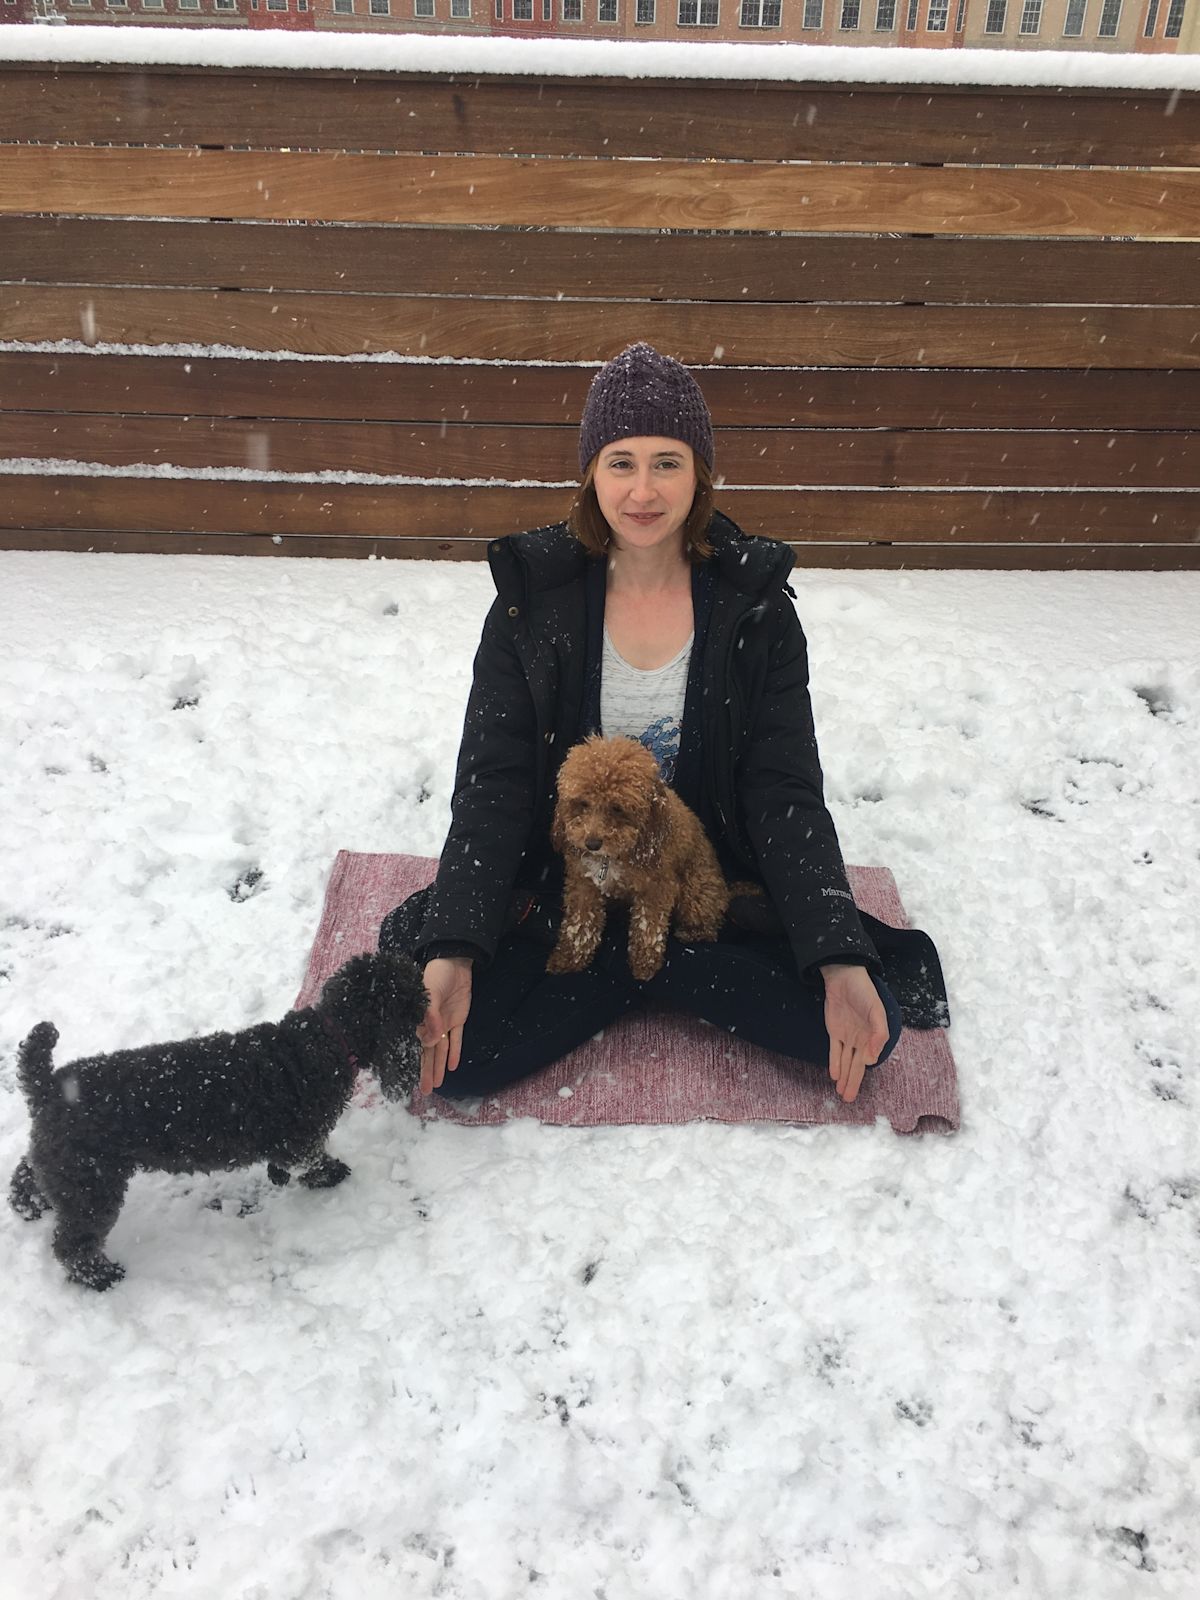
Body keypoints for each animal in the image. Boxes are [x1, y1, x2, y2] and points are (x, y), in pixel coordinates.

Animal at [7, 947, 428, 1286]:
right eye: (416, 1006)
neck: (325, 1040)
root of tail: (48, 1085)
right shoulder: (302, 1140)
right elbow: (313, 1161)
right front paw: (330, 1174)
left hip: (65, 1169)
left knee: (27, 1175)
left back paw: (28, 1206)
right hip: (93, 1187)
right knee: (72, 1244)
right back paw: (100, 1276)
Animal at [547, 732, 732, 979]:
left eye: (617, 808)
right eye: (583, 803)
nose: (592, 843)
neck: (611, 858)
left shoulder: (657, 886)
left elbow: (648, 927)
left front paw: (644, 964)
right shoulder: (584, 884)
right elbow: (580, 926)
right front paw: (568, 959)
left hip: (696, 892)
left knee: (707, 922)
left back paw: (693, 932)